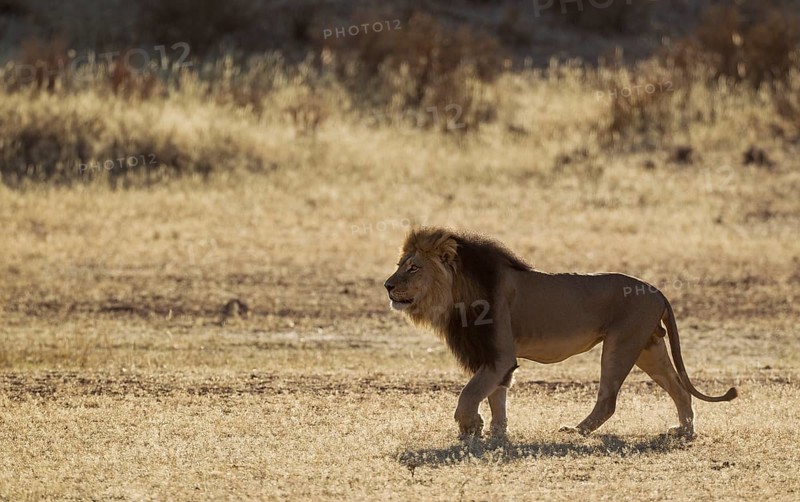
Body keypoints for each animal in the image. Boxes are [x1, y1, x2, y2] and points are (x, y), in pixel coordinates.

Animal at [384, 227, 737, 438]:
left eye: (413, 267)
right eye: (399, 264)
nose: (387, 285)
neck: (456, 295)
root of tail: (658, 291)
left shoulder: (499, 355)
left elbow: (470, 393)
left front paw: (471, 426)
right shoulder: (493, 356)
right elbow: (496, 395)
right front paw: (498, 433)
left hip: (621, 344)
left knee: (609, 399)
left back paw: (577, 431)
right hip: (649, 347)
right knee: (679, 388)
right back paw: (683, 430)